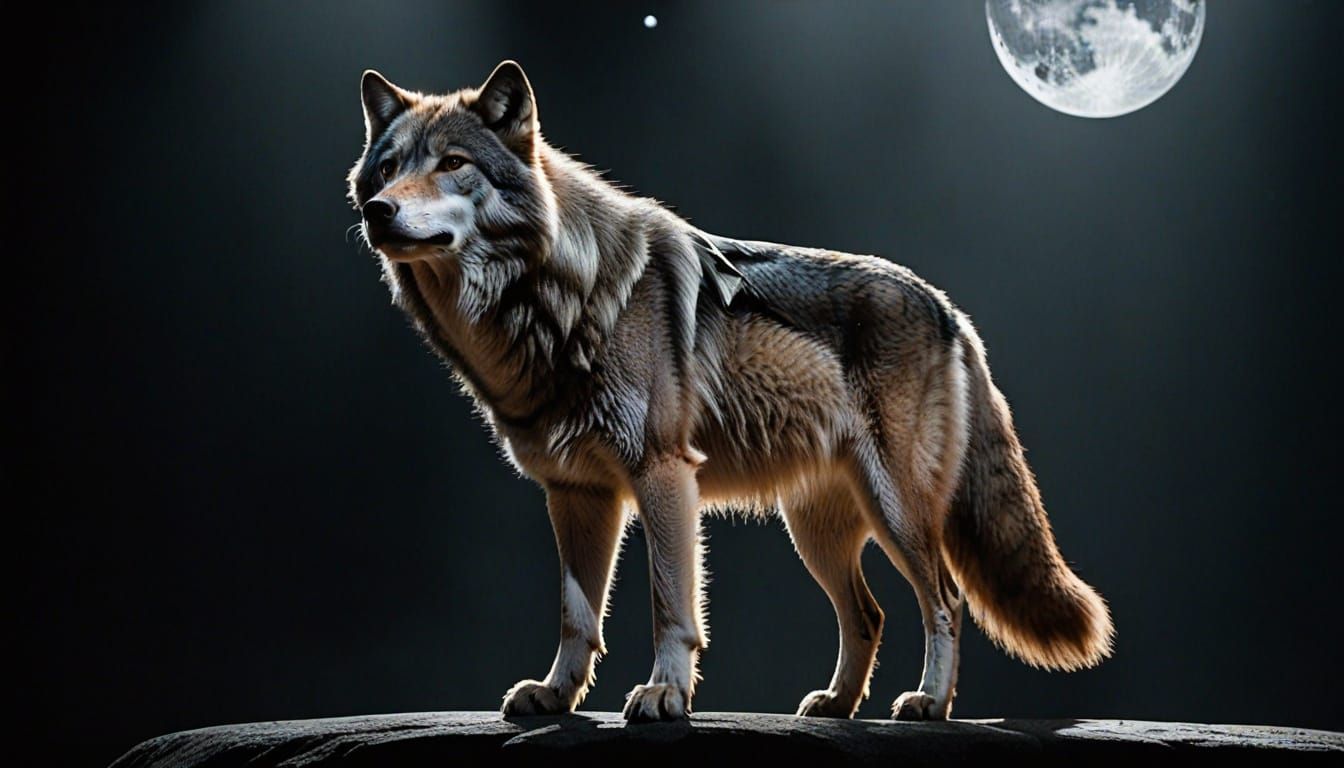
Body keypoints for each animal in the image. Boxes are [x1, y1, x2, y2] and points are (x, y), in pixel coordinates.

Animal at [347, 61, 1113, 722]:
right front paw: (556, 695)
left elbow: (669, 603)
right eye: (387, 169)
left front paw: (664, 695)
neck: (559, 298)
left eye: (452, 164)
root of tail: (949, 309)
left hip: (897, 512)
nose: (378, 210)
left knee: (946, 601)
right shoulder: (576, 494)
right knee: (869, 615)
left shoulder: (663, 475)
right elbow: (576, 614)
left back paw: (928, 704)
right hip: (816, 532)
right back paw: (836, 706)